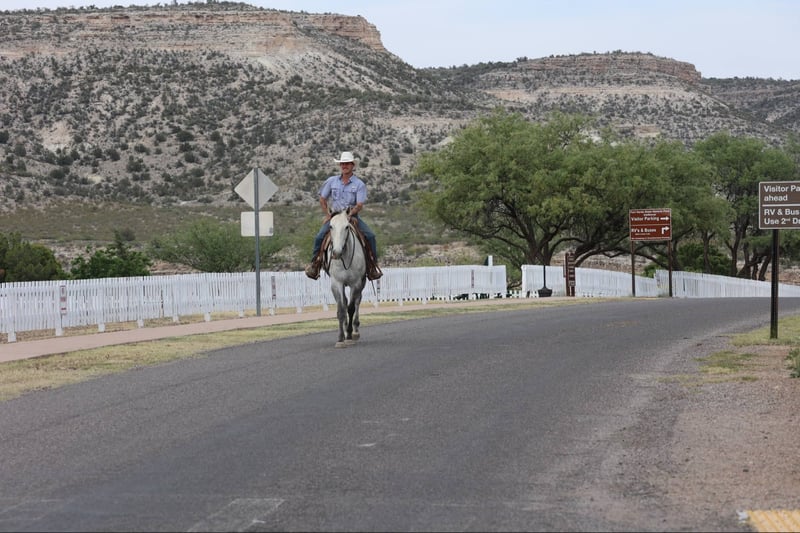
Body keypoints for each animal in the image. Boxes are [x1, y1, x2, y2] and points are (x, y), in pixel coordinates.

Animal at [325, 209, 367, 348]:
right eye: (330, 226)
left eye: (347, 227)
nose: (336, 252)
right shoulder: (336, 283)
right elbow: (341, 310)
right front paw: (340, 338)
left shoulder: (355, 283)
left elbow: (351, 308)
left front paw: (348, 335)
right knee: (345, 301)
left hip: (362, 283)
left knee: (357, 301)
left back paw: (355, 330)